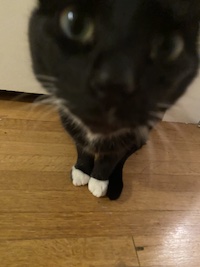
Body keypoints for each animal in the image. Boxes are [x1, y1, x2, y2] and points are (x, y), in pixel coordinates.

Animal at [28, 0, 199, 201]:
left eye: (168, 46)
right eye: (75, 24)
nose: (114, 83)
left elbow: (111, 158)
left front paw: (99, 180)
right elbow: (81, 146)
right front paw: (82, 170)